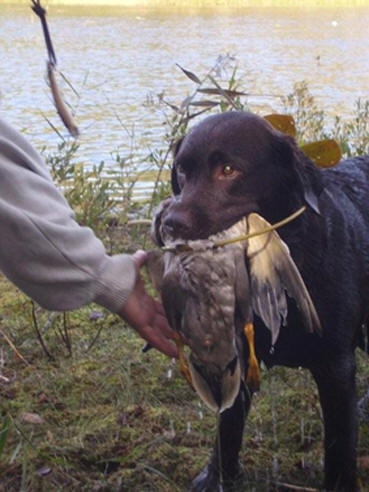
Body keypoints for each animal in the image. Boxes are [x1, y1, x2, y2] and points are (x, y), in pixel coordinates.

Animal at [162, 112, 368, 492]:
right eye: (182, 171)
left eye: (229, 169)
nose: (171, 223)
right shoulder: (235, 354)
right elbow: (228, 429)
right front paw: (217, 478)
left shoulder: (335, 366)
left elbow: (339, 445)